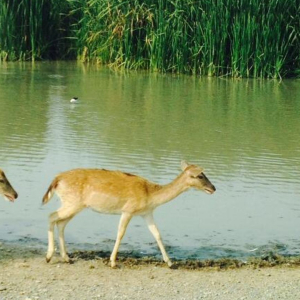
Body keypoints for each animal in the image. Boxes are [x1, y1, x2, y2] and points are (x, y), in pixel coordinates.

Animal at [42, 161, 216, 268]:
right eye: (200, 175)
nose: (213, 188)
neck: (150, 197)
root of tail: (56, 180)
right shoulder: (128, 209)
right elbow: (120, 234)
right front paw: (113, 262)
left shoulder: (147, 213)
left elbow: (157, 234)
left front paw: (170, 263)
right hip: (72, 203)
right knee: (51, 216)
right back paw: (49, 256)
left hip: (74, 205)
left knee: (60, 223)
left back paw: (66, 257)